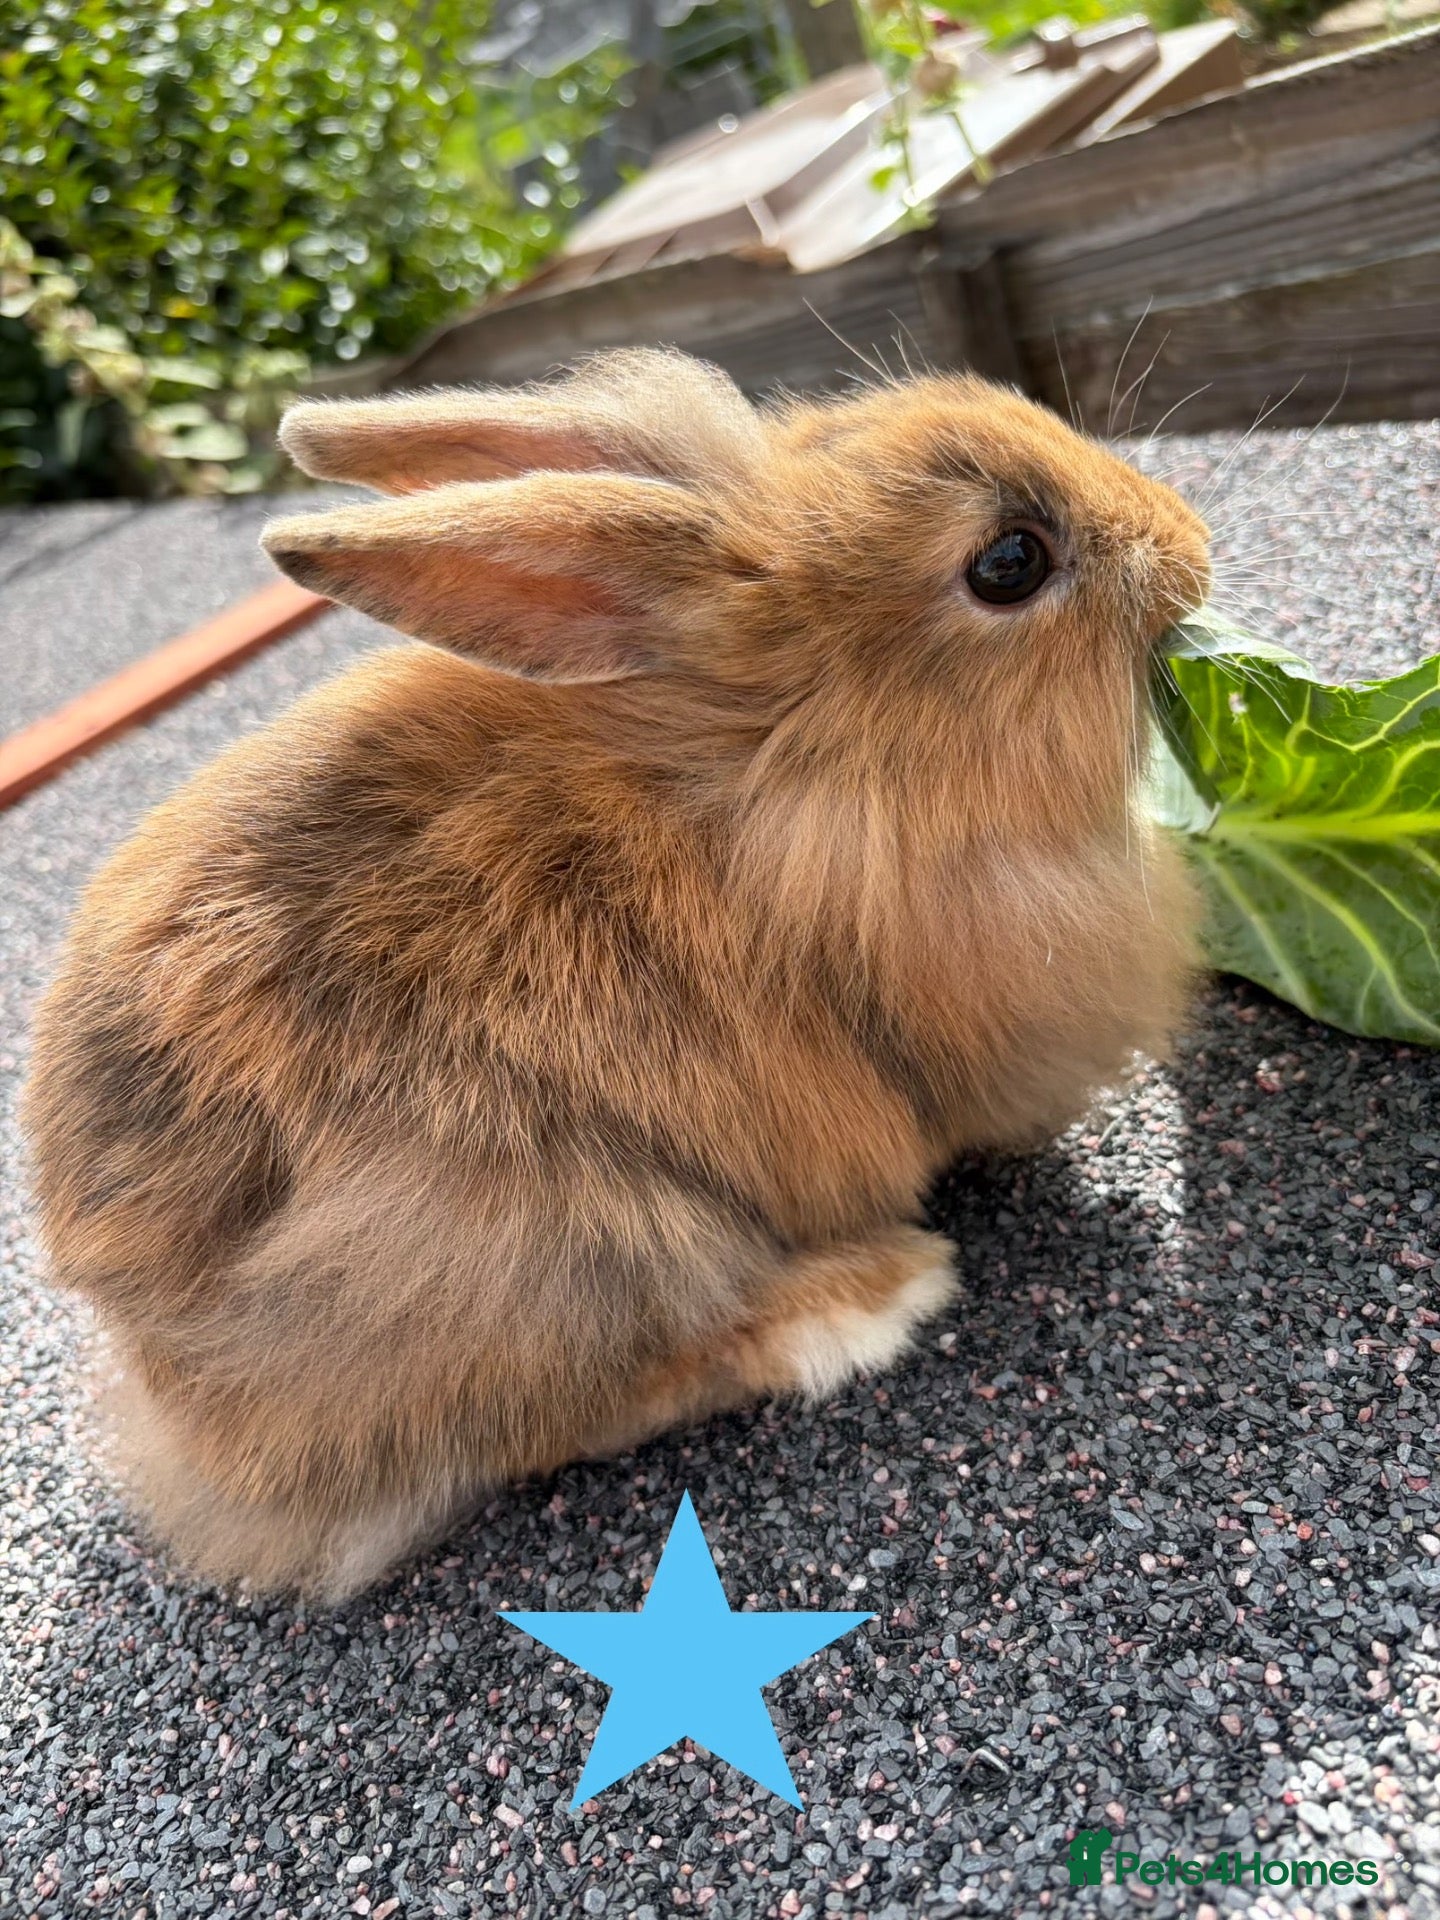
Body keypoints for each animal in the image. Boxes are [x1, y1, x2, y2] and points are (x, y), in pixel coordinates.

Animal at [24, 349, 1210, 1598]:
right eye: (1009, 563)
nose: (1189, 540)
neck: (793, 769)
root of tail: (174, 1386)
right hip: (548, 1244)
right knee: (572, 1412)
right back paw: (871, 1301)